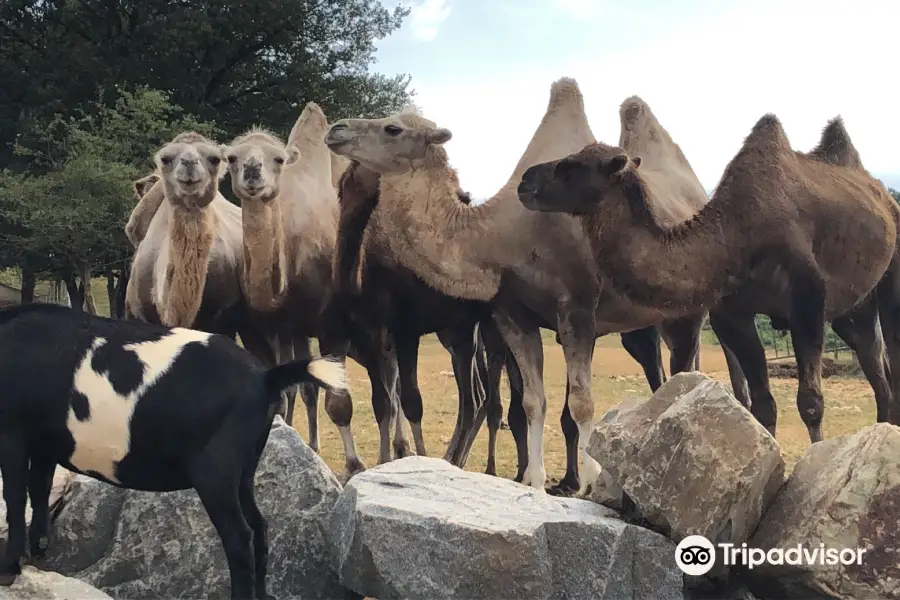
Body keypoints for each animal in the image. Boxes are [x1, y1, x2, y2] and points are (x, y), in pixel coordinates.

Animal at [0, 304, 348, 600]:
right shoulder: (43, 442)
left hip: (215, 472)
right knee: (259, 527)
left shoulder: (12, 430)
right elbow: (39, 489)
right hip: (245, 469)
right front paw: (39, 551)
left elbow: (15, 497)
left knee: (239, 537)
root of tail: (264, 379)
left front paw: (10, 567)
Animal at [326, 77, 744, 494]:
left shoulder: (577, 307)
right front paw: (537, 484)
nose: (336, 129)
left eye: (392, 128)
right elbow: (532, 402)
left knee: (685, 373)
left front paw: (587, 484)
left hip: (690, 312)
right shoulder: (511, 314)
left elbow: (581, 403)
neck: (500, 235)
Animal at [516, 112, 900, 440]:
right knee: (874, 357)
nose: (524, 180)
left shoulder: (807, 300)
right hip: (852, 307)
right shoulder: (731, 312)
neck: (732, 238)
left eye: (571, 166)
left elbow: (810, 403)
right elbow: (763, 404)